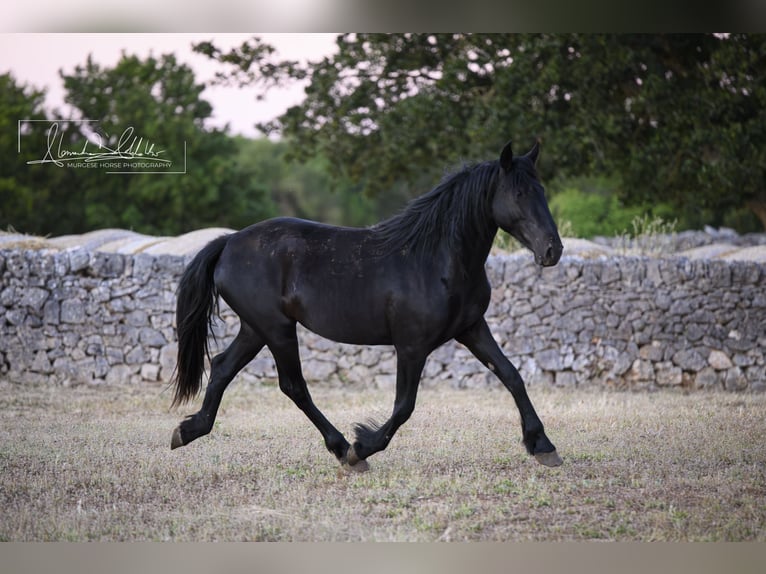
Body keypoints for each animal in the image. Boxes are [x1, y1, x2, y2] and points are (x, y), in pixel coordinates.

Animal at [169, 140, 564, 472]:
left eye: (542, 191)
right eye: (518, 193)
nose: (552, 250)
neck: (436, 260)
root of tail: (229, 241)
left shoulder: (472, 328)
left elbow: (511, 376)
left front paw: (543, 445)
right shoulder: (412, 345)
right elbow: (404, 406)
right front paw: (362, 447)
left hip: (256, 329)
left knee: (222, 367)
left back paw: (187, 431)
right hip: (276, 329)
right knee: (293, 386)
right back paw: (342, 449)